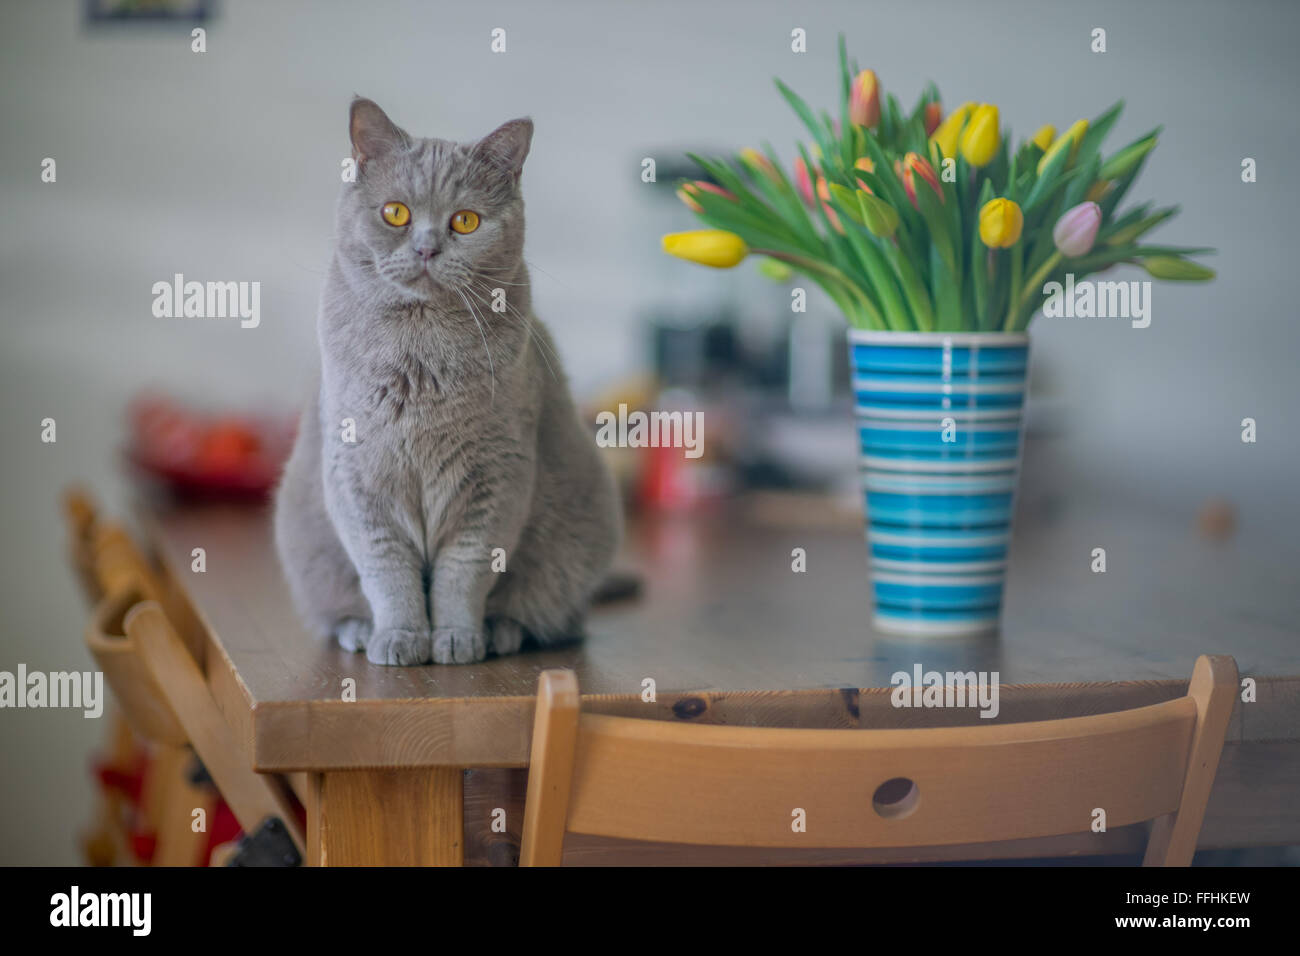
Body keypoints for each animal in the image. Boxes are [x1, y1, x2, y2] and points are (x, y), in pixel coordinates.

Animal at [273, 97, 618, 665]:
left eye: (465, 220)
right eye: (395, 212)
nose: (428, 248)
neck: (418, 359)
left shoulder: (496, 477)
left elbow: (465, 570)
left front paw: (457, 639)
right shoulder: (356, 476)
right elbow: (386, 569)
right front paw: (400, 638)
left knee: (556, 617)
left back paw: (502, 631)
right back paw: (359, 631)